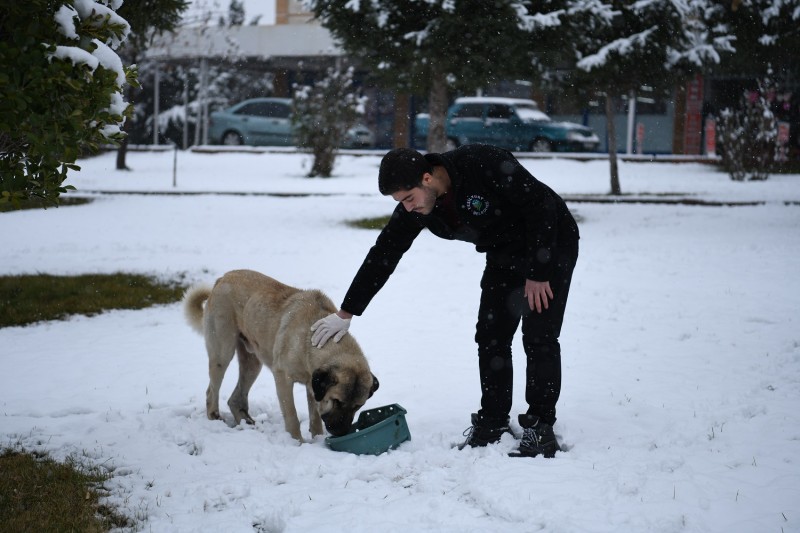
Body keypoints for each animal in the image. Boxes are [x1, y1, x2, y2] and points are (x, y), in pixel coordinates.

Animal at [184, 270, 378, 440]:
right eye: (336, 401)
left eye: (358, 406)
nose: (341, 432)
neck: (309, 340)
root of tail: (221, 279)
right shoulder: (283, 378)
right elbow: (292, 416)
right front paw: (298, 442)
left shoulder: (313, 385)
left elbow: (315, 417)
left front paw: (317, 439)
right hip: (222, 352)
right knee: (211, 392)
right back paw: (215, 418)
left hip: (252, 362)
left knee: (235, 399)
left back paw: (247, 423)